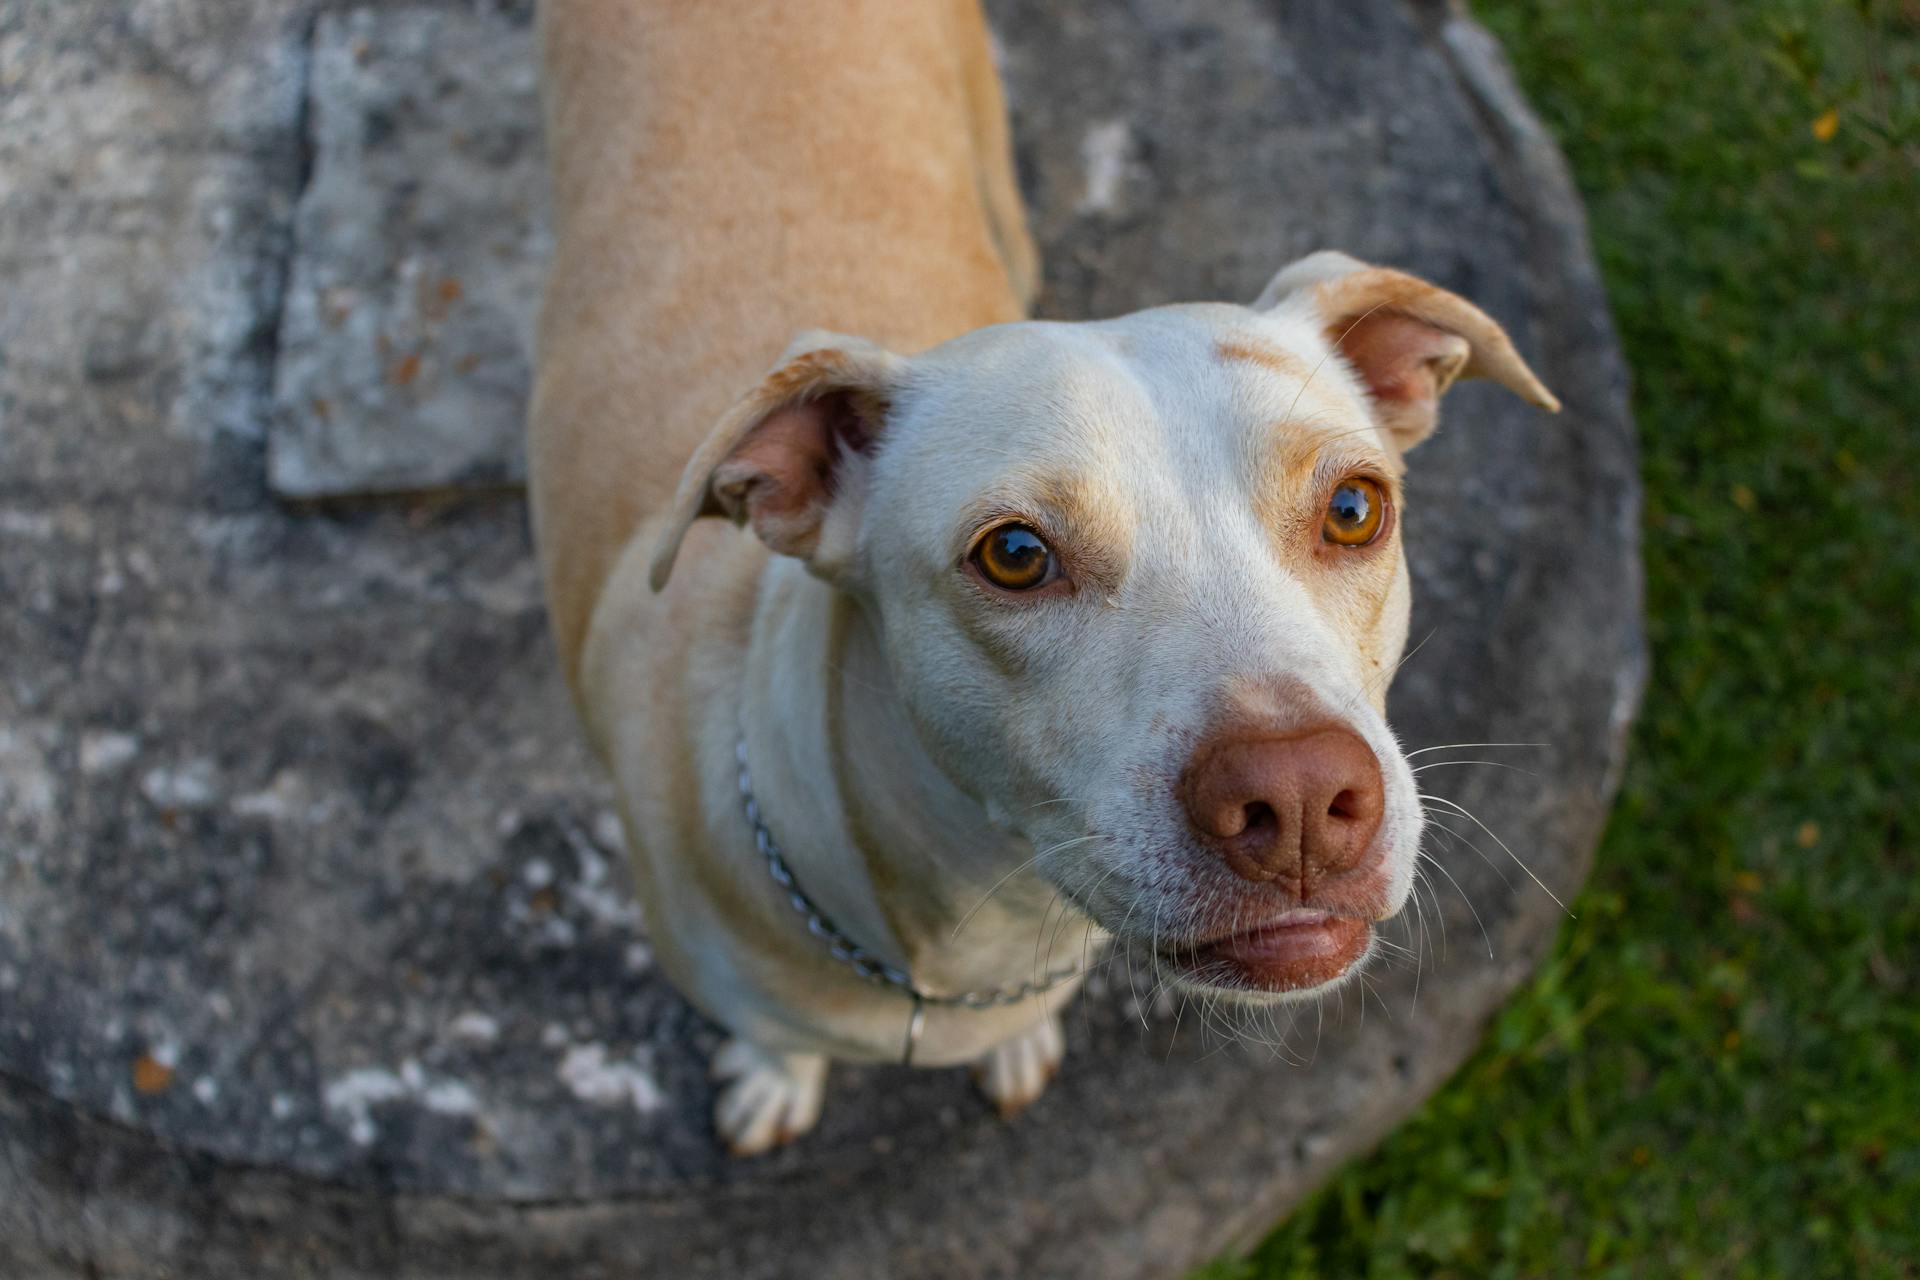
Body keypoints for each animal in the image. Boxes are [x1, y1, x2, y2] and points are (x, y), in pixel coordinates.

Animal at [529, 0, 1559, 1159]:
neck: (974, 928)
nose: (1299, 797)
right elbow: (777, 1042)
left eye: (1353, 508)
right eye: (1015, 556)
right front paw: (773, 1079)